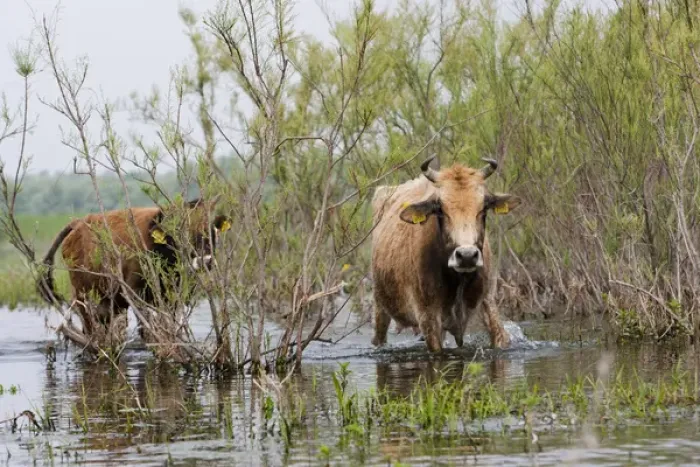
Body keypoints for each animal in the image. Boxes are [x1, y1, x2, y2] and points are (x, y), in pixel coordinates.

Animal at [36, 198, 231, 342]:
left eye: (211, 229)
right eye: (180, 231)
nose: (205, 260)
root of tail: (79, 223)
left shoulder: (174, 297)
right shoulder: (135, 291)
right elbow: (147, 331)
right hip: (83, 293)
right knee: (90, 325)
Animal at [370, 156, 521, 352]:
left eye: (483, 207)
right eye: (440, 209)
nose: (466, 255)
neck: (458, 280)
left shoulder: (488, 302)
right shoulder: (428, 318)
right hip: (380, 307)